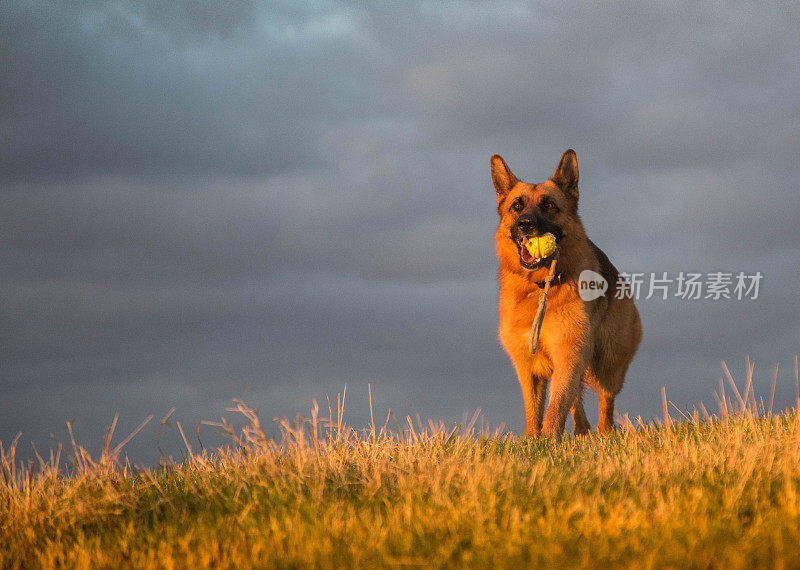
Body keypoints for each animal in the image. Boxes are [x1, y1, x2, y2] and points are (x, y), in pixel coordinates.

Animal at [490, 148, 640, 434]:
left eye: (549, 205)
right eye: (517, 206)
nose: (526, 224)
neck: (539, 288)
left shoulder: (569, 353)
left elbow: (555, 406)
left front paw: (548, 439)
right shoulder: (529, 366)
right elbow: (535, 412)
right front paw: (534, 440)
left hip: (609, 363)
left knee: (605, 400)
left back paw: (604, 432)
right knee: (576, 401)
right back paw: (582, 431)